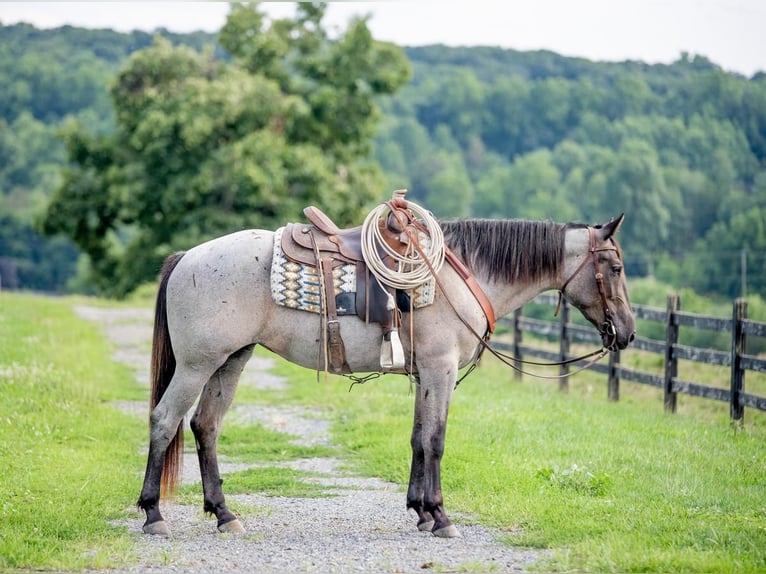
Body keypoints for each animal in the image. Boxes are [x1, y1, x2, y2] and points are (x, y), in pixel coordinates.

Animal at [136, 212, 636, 540]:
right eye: (614, 267)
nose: (627, 332)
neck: (462, 273)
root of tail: (187, 257)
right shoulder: (440, 368)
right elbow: (436, 439)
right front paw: (441, 517)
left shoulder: (426, 374)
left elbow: (417, 437)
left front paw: (420, 511)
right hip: (198, 365)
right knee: (164, 421)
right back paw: (153, 515)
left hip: (231, 360)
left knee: (206, 426)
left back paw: (223, 513)